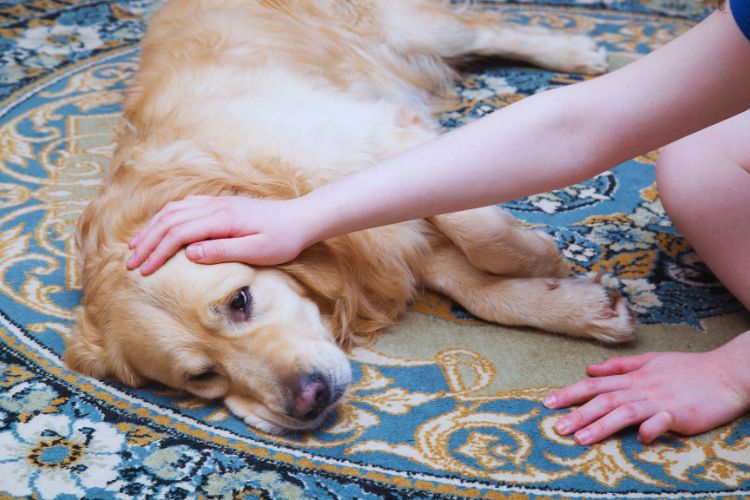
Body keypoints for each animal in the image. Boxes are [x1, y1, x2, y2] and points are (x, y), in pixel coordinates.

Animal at [67, 0, 636, 434]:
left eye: (240, 301)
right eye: (202, 376)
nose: (309, 399)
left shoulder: (384, 134)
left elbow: (479, 232)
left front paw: (539, 256)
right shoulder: (389, 242)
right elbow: (474, 286)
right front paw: (578, 306)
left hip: (406, 29)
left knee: (485, 27)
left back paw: (577, 52)